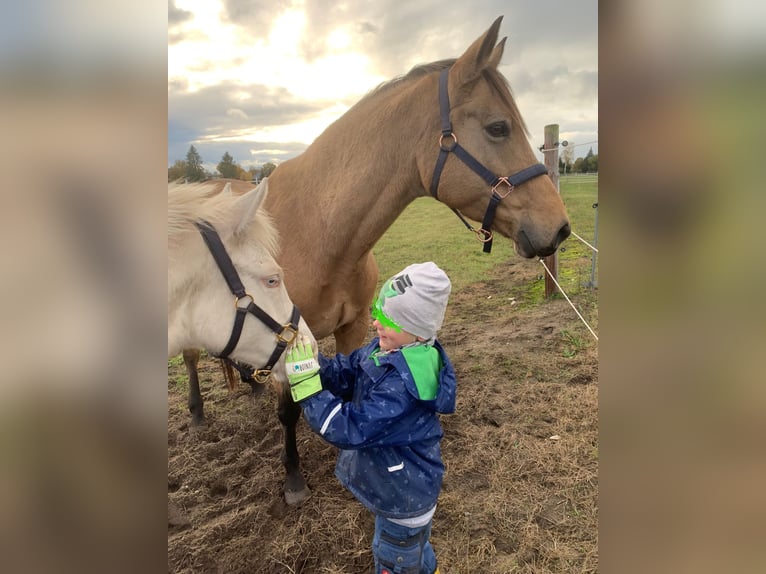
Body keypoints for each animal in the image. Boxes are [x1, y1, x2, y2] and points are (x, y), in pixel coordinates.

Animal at [184, 15, 568, 506]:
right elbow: (288, 411)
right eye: (498, 128)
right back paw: (197, 414)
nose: (559, 228)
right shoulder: (286, 332)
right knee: (191, 357)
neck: (317, 231)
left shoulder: (348, 327)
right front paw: (293, 480)